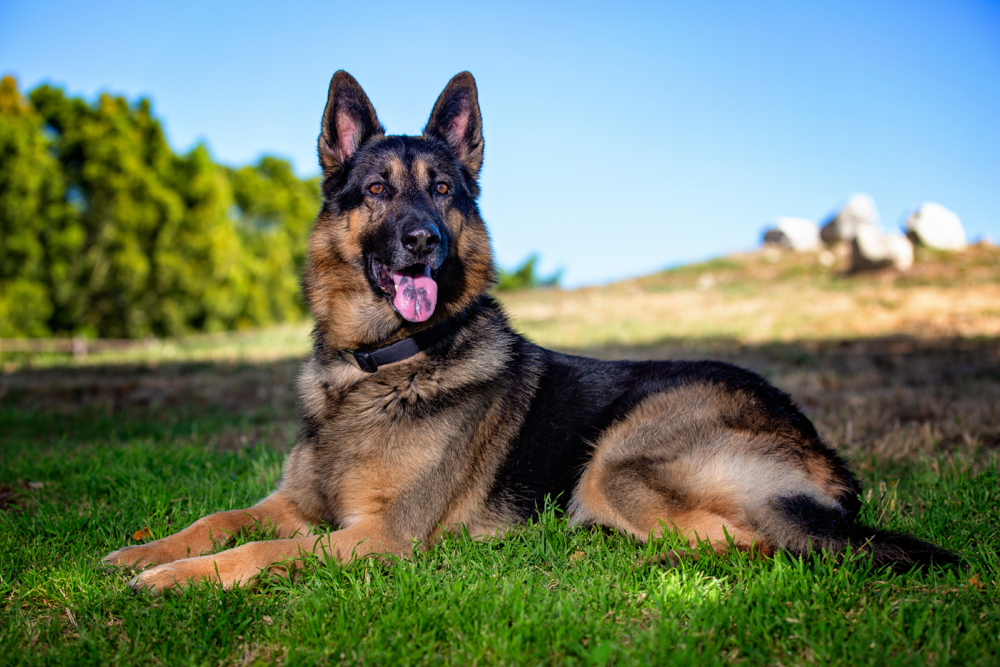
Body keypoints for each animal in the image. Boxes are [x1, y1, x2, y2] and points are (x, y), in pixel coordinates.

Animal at [105, 70, 956, 588]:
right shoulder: (297, 502)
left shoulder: (378, 536)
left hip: (617, 463)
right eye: (377, 189)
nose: (424, 242)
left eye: (443, 190)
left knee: (747, 543)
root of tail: (823, 452)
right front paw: (139, 550)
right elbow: (220, 518)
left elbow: (261, 548)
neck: (379, 367)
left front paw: (169, 579)